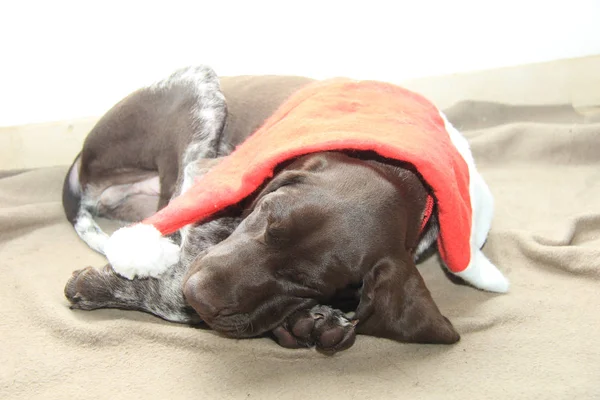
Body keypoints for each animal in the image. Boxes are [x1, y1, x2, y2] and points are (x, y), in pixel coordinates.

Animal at [63, 65, 460, 354]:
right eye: (263, 214)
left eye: (305, 281)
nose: (199, 297)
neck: (395, 171)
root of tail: (83, 157)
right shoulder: (209, 186)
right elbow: (174, 291)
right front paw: (97, 285)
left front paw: (312, 320)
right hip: (197, 94)